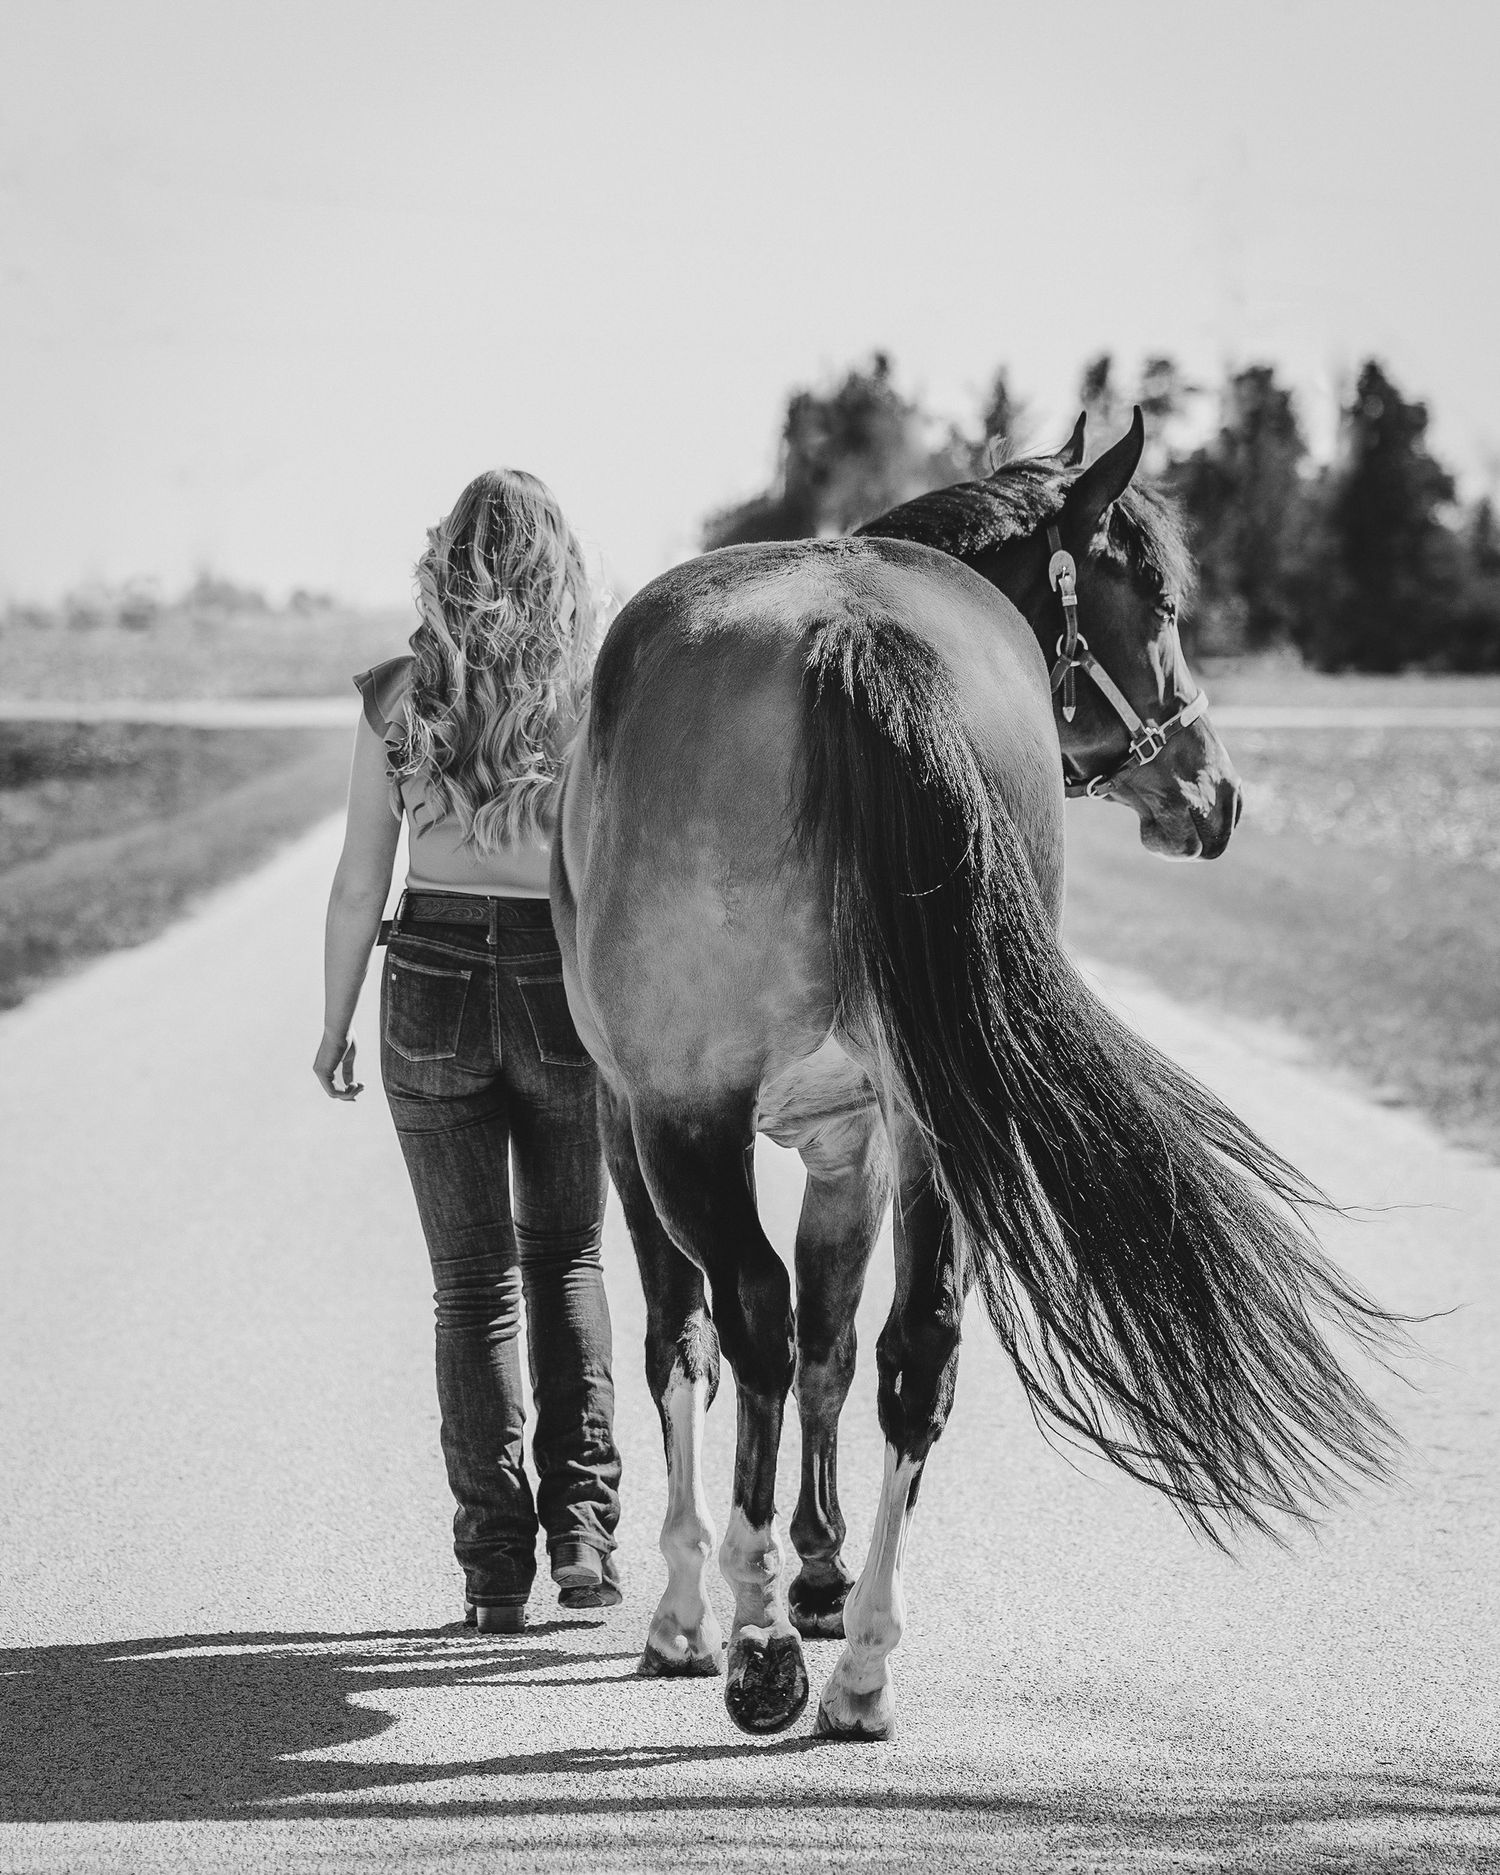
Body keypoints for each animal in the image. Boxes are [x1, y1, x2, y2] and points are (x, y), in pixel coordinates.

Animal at [550, 409, 1396, 1741]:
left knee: (749, 1321)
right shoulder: (847, 1136)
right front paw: (825, 1573)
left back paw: (756, 1641)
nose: (1215, 793)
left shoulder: (643, 1122)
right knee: (913, 1351)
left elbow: (698, 1343)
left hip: (689, 1126)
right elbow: (834, 1344)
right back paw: (858, 1665)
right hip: (912, 1127)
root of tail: (852, 628)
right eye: (1156, 599)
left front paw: (695, 1606)